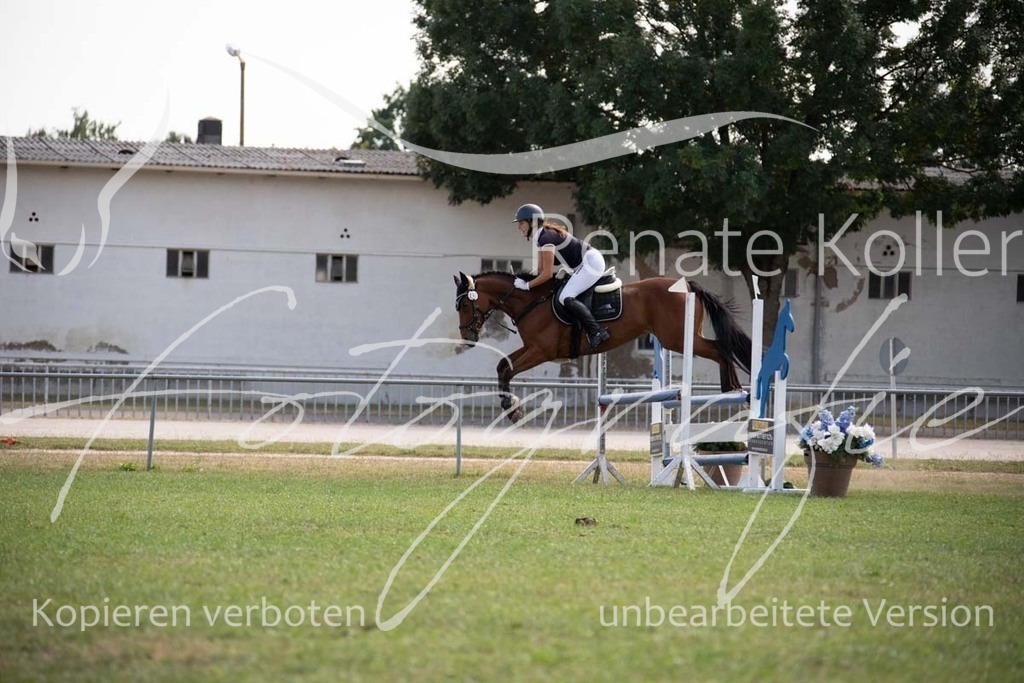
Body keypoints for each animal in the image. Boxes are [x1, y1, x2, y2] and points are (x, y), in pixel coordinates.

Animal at [453, 271, 753, 423]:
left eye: (465, 304)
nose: (468, 336)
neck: (532, 301)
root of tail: (687, 285)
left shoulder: (541, 351)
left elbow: (508, 369)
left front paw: (512, 408)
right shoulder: (533, 348)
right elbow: (502, 366)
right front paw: (512, 406)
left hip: (677, 338)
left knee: (720, 348)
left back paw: (733, 388)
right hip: (678, 338)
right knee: (720, 347)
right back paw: (733, 389)